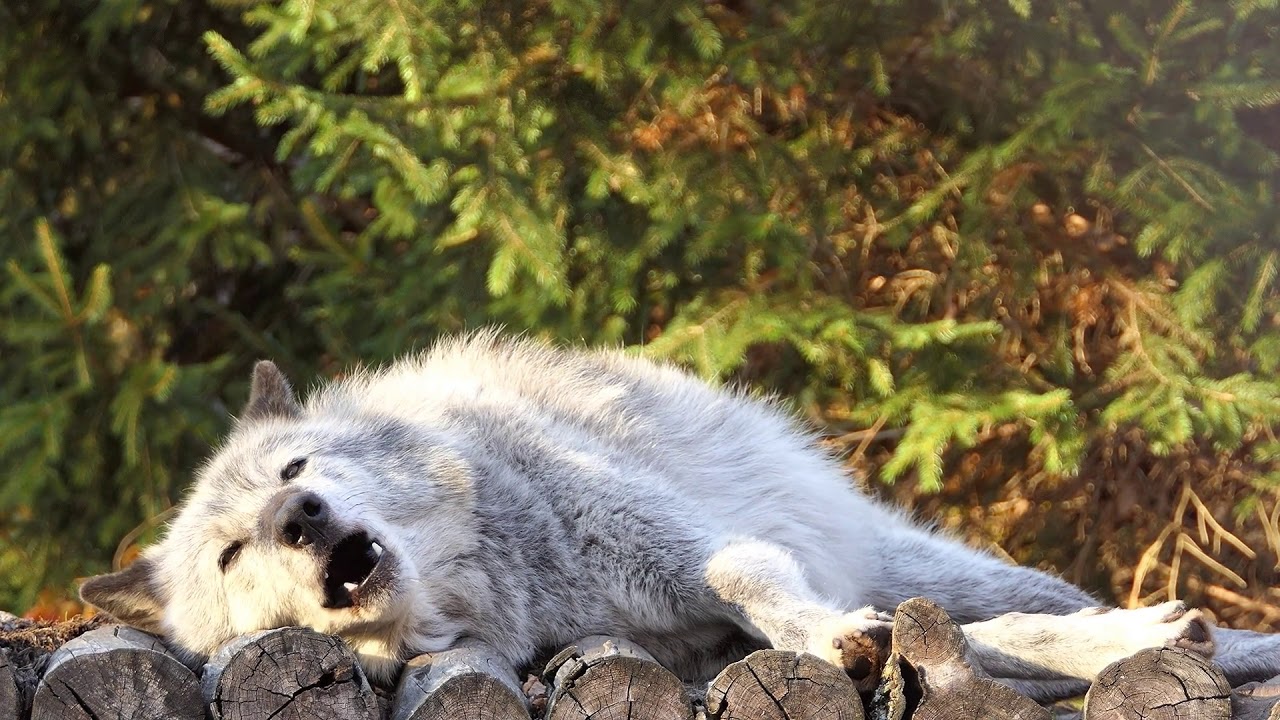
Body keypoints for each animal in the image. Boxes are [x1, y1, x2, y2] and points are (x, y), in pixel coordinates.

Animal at [82, 332, 1280, 699]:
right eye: (231, 553)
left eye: (297, 462)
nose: (299, 517)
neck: (515, 579)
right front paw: (840, 644)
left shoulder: (701, 552)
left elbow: (751, 579)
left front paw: (825, 635)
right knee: (988, 635)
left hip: (921, 557)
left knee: (1028, 610)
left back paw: (1192, 637)